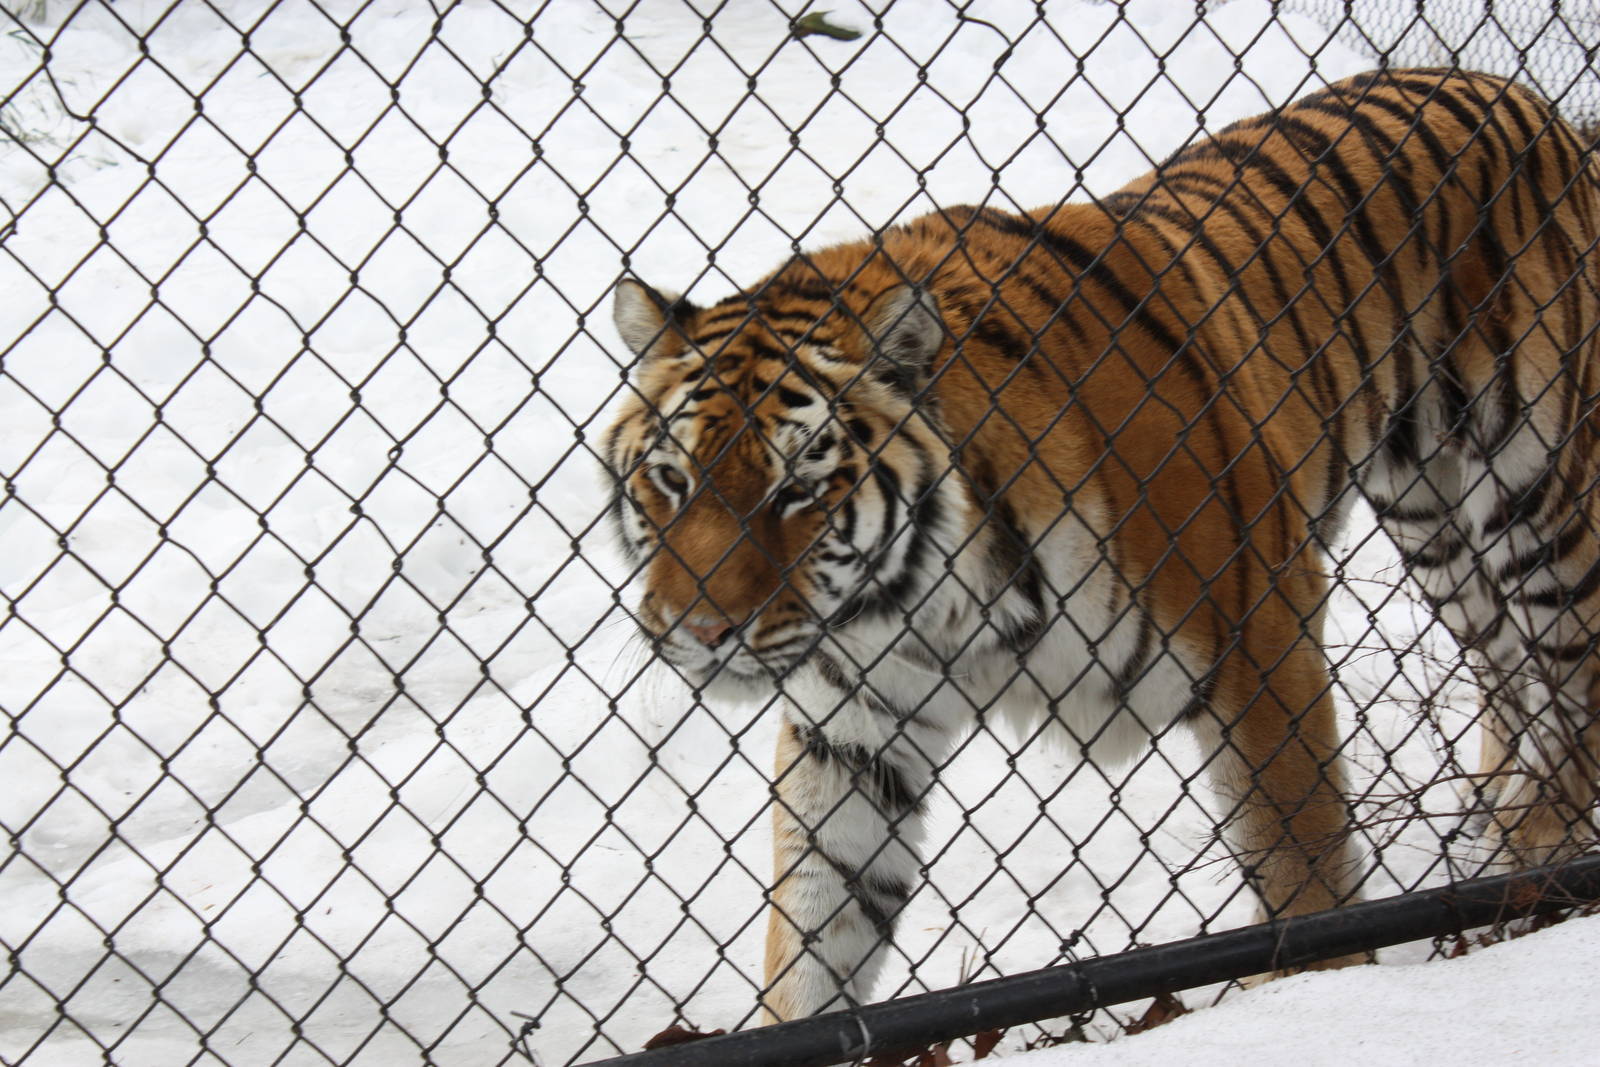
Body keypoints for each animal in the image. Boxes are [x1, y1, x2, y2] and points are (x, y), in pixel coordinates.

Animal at [601, 68, 1600, 1022]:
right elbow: (818, 937)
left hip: (1533, 500)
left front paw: (1330, 992)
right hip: (1433, 523)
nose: (697, 633)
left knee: (1572, 680)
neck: (929, 602)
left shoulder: (1263, 644)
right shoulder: (855, 733)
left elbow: (1302, 876)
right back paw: (1503, 823)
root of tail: (1520, 95)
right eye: (674, 480)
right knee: (1507, 669)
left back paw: (1545, 857)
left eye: (799, 488)